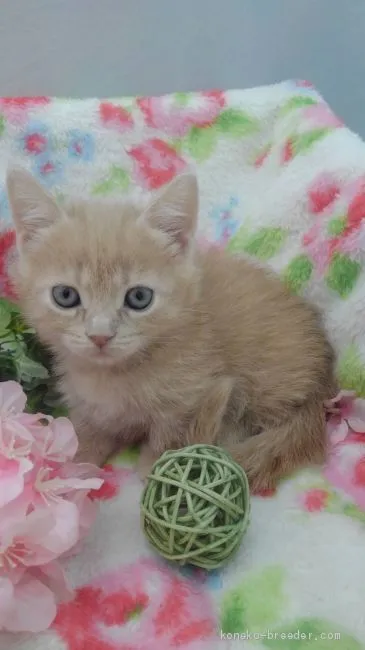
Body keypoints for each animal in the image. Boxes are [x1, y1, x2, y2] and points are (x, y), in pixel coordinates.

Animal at [7, 170, 336, 488]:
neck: (115, 375)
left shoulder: (191, 393)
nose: (100, 336)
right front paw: (72, 465)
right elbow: (85, 434)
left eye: (139, 297)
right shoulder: (91, 406)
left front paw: (154, 467)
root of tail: (322, 389)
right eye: (65, 296)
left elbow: (170, 433)